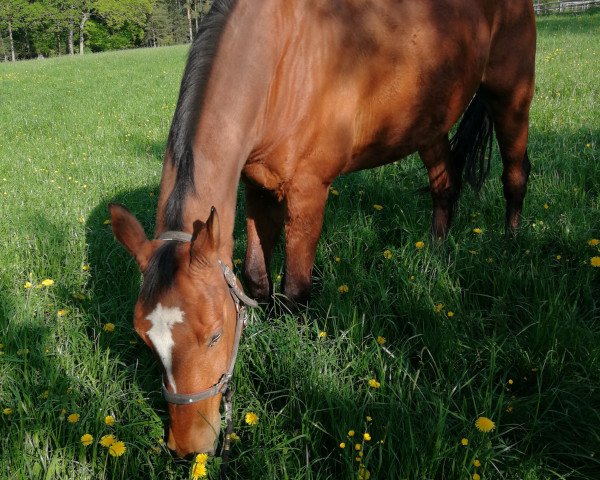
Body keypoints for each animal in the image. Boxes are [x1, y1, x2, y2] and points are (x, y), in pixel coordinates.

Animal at [108, 0, 536, 458]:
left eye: (215, 336)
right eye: (145, 339)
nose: (189, 446)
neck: (279, 62)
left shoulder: (308, 193)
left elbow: (295, 291)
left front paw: (294, 367)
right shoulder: (258, 188)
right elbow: (257, 278)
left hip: (511, 96)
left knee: (515, 175)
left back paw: (511, 246)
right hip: (429, 124)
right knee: (445, 187)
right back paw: (433, 259)